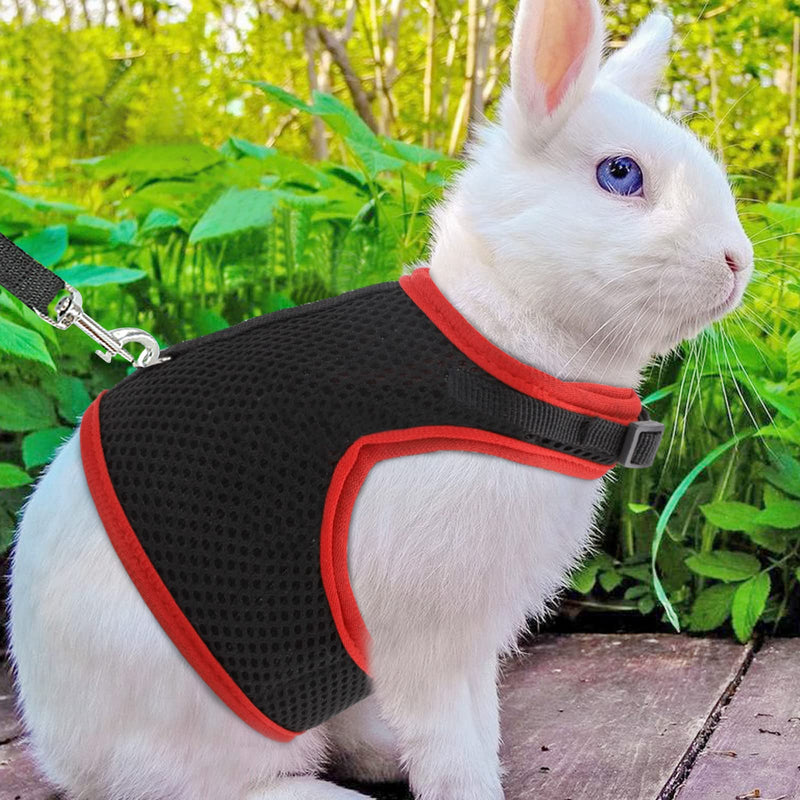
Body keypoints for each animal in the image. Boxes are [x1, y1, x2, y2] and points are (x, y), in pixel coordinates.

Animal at [8, 0, 754, 798]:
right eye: (620, 173)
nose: (739, 262)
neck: (502, 348)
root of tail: (60, 750)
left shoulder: (471, 643)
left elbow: (480, 723)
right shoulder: (428, 641)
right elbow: (454, 744)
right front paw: (473, 790)